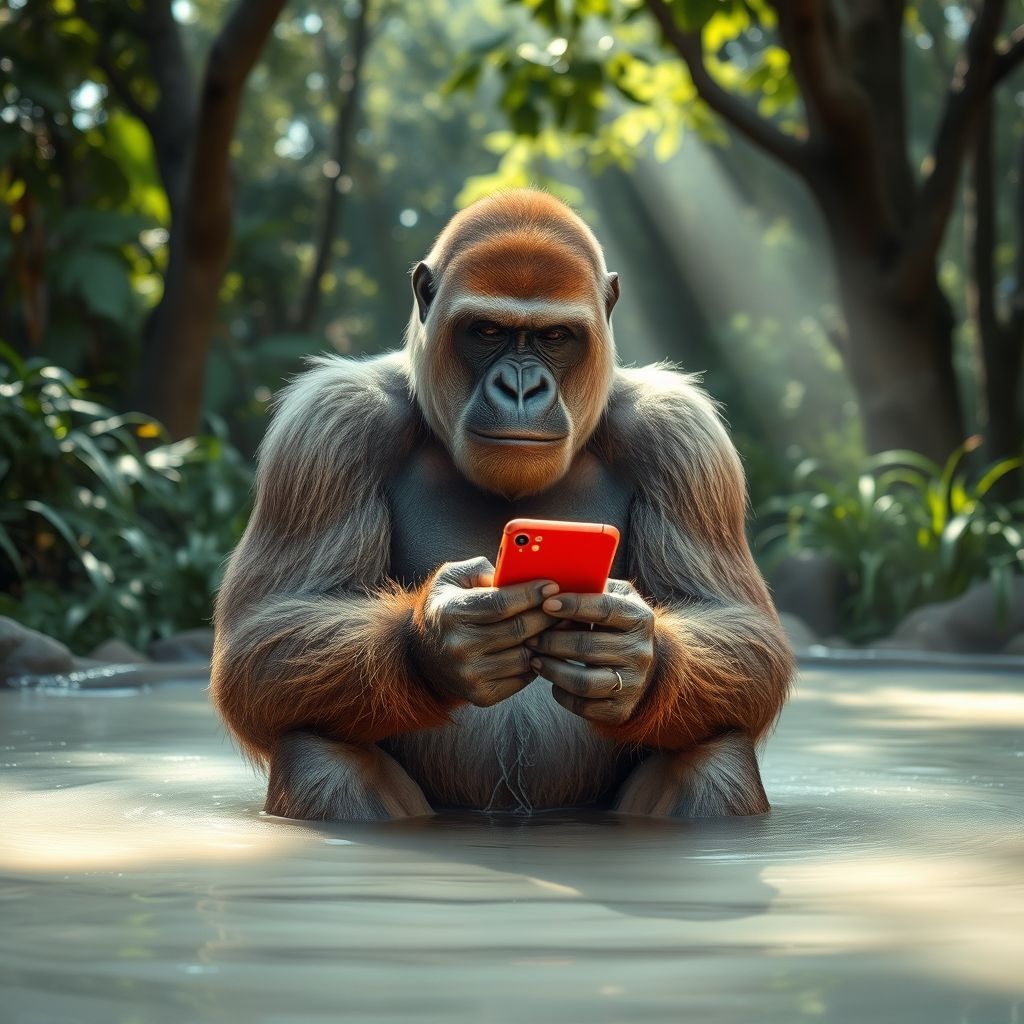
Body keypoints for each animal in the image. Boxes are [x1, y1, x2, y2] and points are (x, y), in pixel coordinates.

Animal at [209, 188, 794, 822]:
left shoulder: (680, 435)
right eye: (487, 330)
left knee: (712, 750)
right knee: (319, 750)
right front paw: (434, 638)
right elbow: (266, 634)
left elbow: (738, 625)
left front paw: (639, 658)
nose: (520, 388)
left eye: (556, 336)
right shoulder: (331, 422)